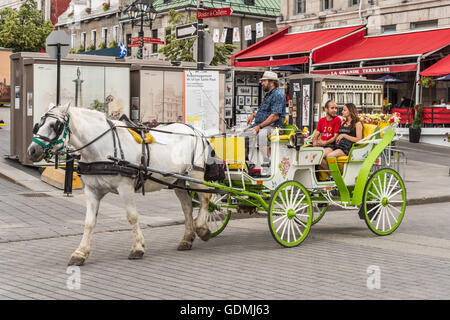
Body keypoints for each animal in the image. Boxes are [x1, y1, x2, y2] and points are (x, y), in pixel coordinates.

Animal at [27, 104, 214, 266]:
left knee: (205, 198)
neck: (102, 148)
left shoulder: (125, 188)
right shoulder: (92, 191)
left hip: (195, 175)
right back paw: (187, 238)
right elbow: (89, 222)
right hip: (178, 180)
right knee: (187, 207)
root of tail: (195, 131)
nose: (32, 151)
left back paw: (202, 228)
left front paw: (137, 248)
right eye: (39, 124)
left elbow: (132, 216)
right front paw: (80, 253)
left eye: (55, 125)